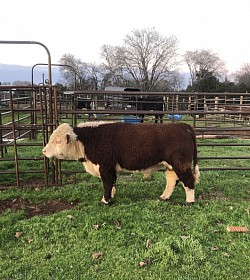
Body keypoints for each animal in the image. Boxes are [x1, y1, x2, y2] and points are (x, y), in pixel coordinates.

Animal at [42, 121, 199, 205]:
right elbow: (112, 183)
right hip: (171, 166)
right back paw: (164, 197)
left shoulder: (105, 167)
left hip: (181, 164)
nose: (43, 151)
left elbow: (107, 183)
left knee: (188, 180)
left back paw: (189, 202)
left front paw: (105, 201)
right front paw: (110, 197)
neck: (89, 140)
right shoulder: (111, 168)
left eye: (58, 141)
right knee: (172, 180)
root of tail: (182, 126)